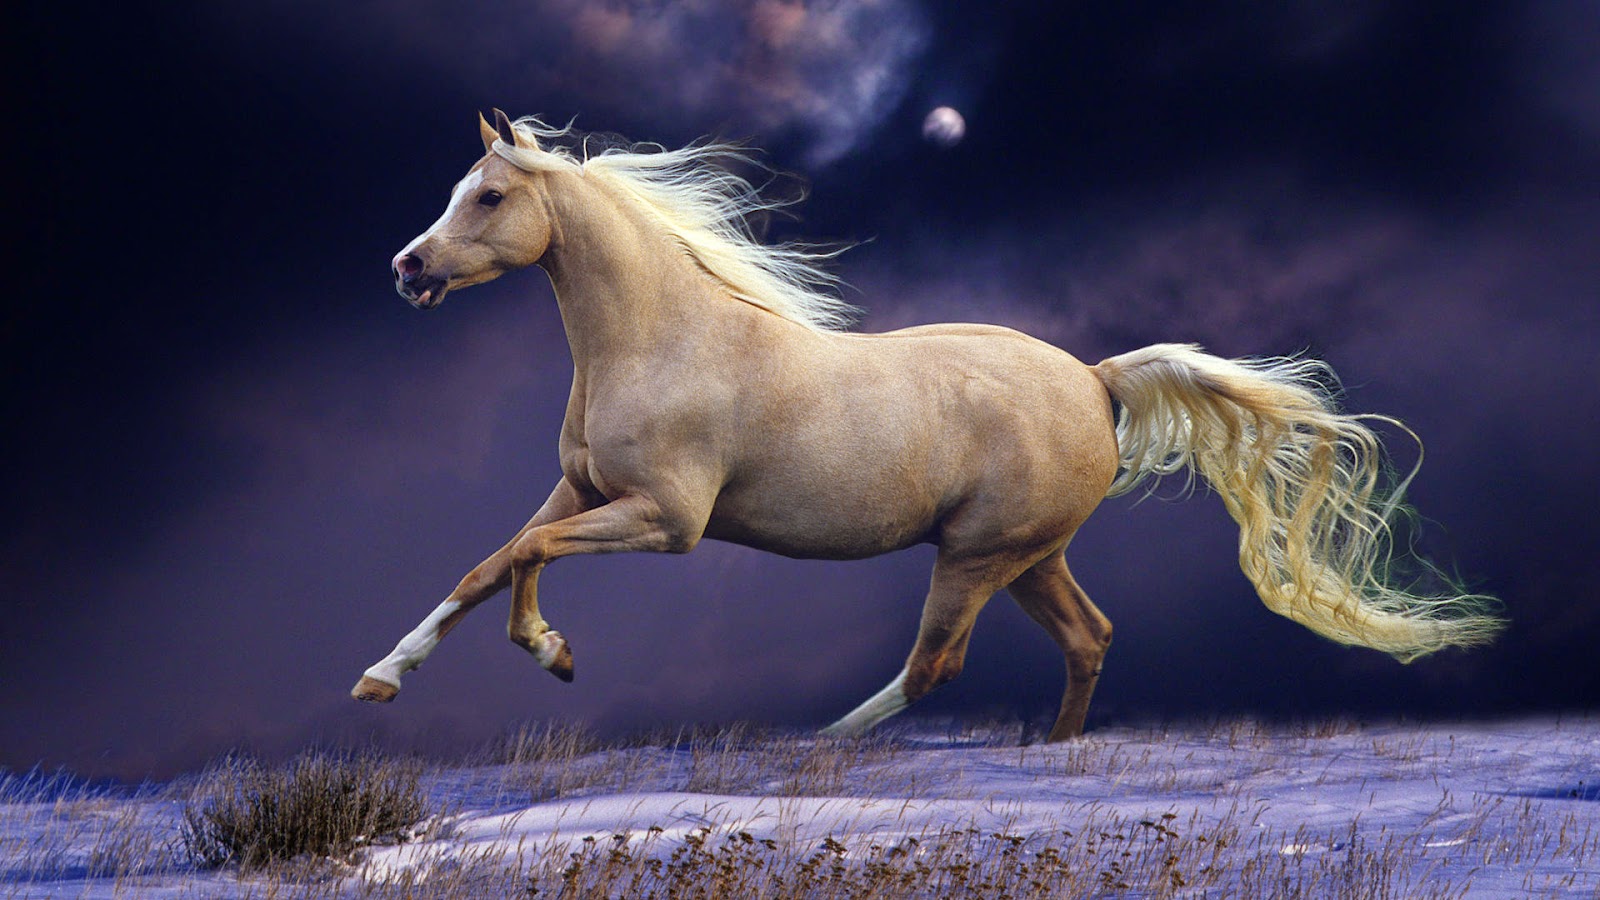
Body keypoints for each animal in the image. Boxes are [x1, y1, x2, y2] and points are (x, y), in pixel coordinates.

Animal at [351, 110, 1502, 742]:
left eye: (489, 197)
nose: (406, 267)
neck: (661, 340)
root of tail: (1096, 380)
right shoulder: (583, 490)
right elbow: (488, 562)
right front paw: (381, 678)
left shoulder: (665, 520)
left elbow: (526, 559)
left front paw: (551, 654)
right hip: (1029, 555)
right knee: (1088, 637)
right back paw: (1050, 753)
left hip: (977, 555)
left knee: (934, 667)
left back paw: (812, 748)